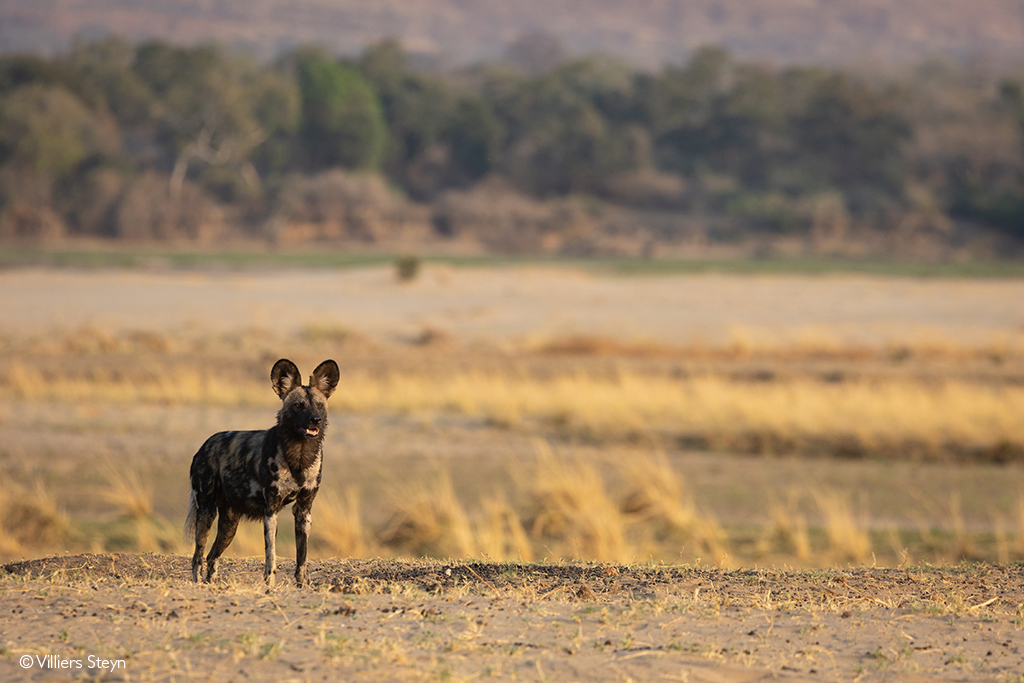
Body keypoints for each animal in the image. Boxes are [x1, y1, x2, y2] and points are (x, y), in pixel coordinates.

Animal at [184, 358, 339, 589]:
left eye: (320, 405)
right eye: (298, 405)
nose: (315, 419)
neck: (299, 456)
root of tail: (204, 445)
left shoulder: (304, 511)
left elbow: (302, 558)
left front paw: (302, 585)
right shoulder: (271, 510)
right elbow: (271, 555)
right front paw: (270, 585)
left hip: (230, 524)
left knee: (212, 556)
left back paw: (213, 584)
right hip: (206, 512)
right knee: (198, 556)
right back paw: (198, 585)